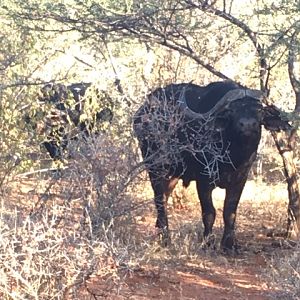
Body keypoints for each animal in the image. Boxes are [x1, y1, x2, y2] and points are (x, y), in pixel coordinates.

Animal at [133, 80, 288, 251]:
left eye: (259, 110)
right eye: (232, 111)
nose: (248, 125)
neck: (233, 157)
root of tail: (141, 114)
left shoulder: (240, 179)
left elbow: (230, 211)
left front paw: (229, 244)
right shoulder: (203, 181)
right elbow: (209, 213)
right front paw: (208, 242)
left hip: (173, 175)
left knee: (165, 198)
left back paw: (160, 230)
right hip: (155, 167)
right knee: (159, 200)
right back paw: (166, 239)